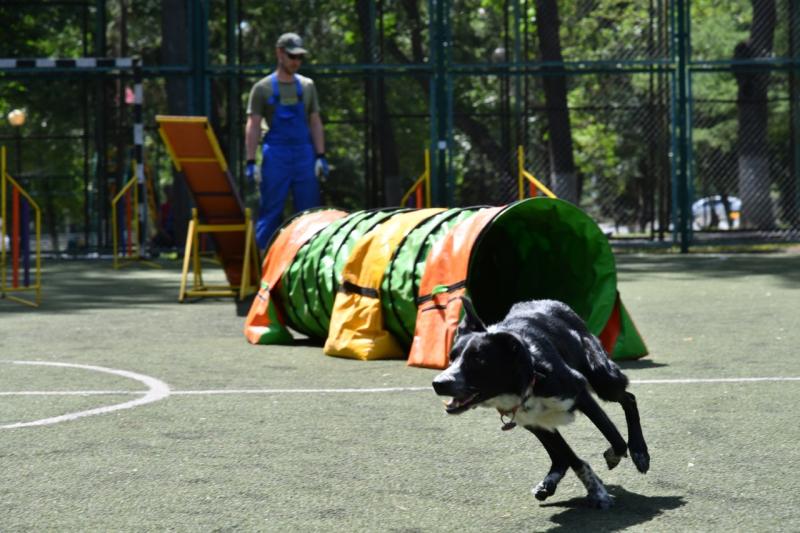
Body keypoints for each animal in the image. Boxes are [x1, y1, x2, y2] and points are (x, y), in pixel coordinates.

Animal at [432, 296, 648, 508]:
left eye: (478, 360)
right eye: (451, 358)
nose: (438, 383)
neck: (530, 377)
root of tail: (554, 302)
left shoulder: (579, 394)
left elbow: (616, 439)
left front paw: (612, 460)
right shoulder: (532, 421)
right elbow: (573, 459)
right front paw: (597, 491)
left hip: (602, 377)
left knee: (629, 399)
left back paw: (640, 452)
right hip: (539, 423)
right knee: (559, 457)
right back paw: (548, 484)